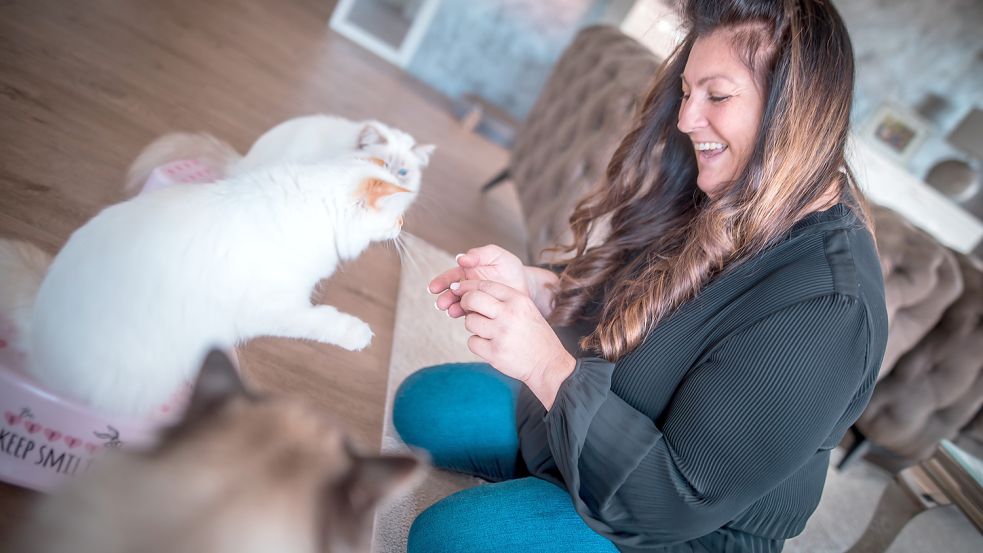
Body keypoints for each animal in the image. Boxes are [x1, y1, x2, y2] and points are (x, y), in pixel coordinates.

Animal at [0, 157, 416, 416]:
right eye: (398, 218)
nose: (401, 228)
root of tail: (35, 335)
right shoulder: (275, 308)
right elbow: (322, 322)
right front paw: (356, 333)